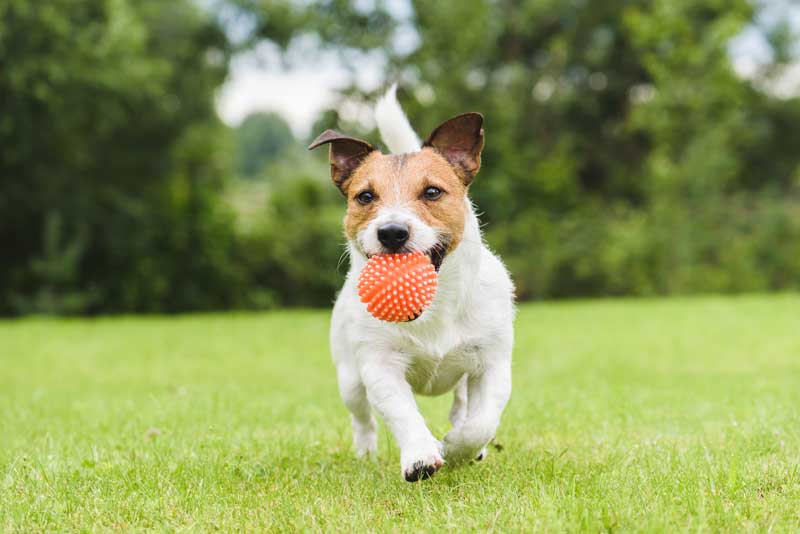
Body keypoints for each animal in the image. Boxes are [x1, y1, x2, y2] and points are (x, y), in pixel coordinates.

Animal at [306, 86, 512, 484]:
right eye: (365, 197)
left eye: (432, 192)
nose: (391, 232)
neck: (435, 306)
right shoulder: (379, 365)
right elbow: (402, 412)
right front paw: (420, 456)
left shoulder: (492, 362)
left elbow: (482, 421)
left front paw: (458, 447)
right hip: (349, 378)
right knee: (362, 419)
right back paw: (366, 454)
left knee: (463, 404)